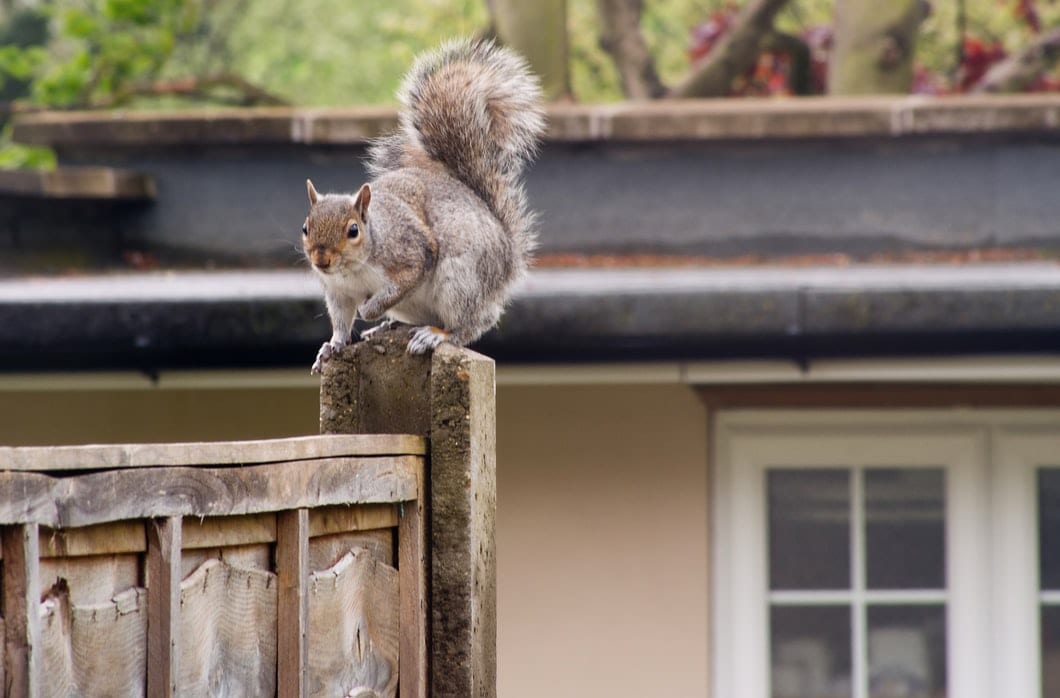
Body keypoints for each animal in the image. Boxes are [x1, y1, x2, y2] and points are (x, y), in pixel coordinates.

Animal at [301, 38, 542, 373]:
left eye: (353, 230)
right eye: (305, 228)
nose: (321, 260)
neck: (353, 269)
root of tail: (508, 257)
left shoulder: (410, 255)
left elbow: (398, 284)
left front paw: (369, 309)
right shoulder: (338, 293)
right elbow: (339, 322)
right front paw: (332, 346)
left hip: (461, 279)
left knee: (470, 324)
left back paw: (436, 334)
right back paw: (389, 327)